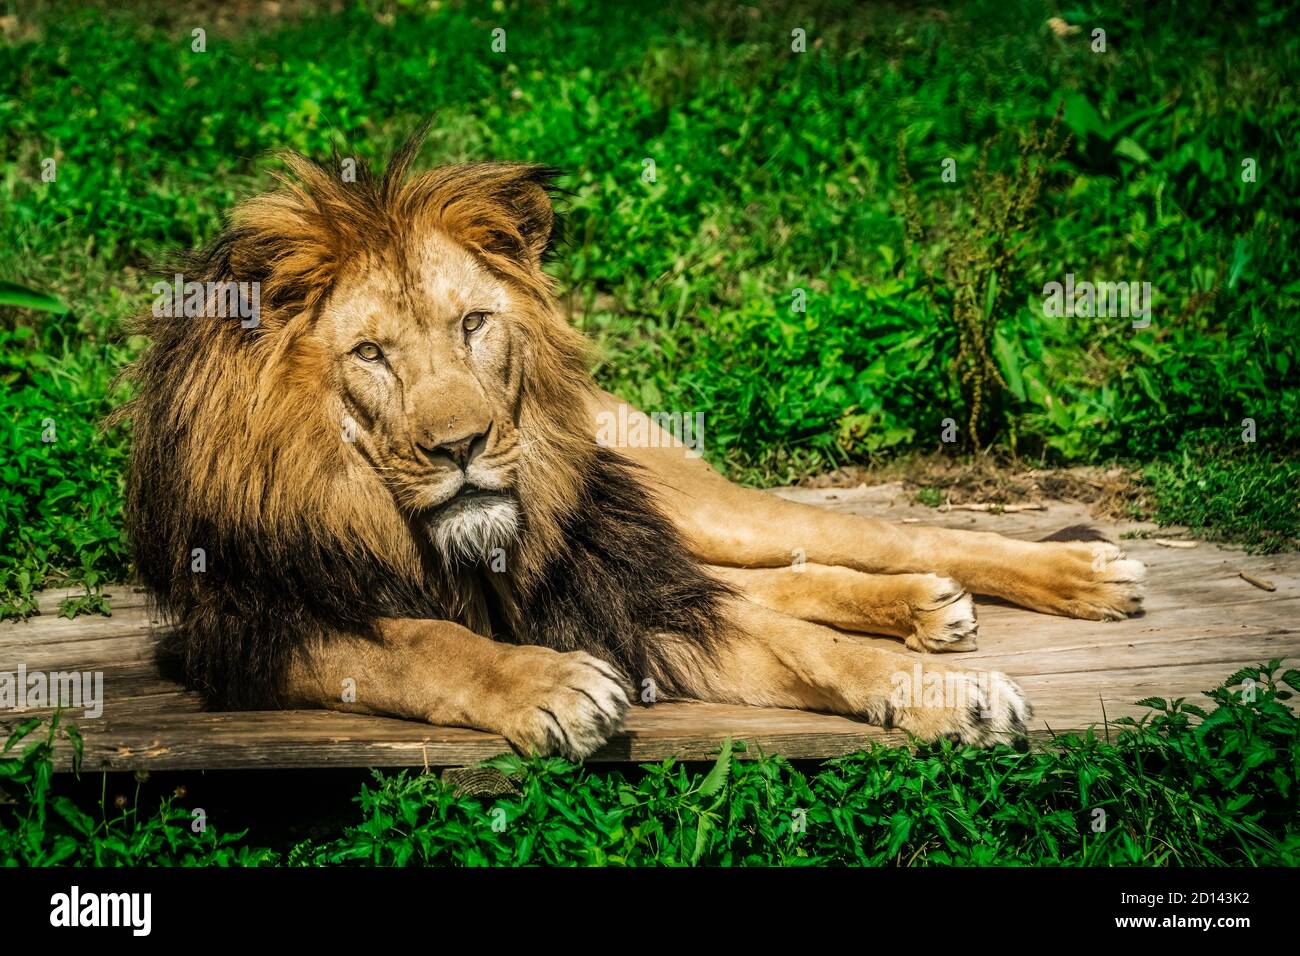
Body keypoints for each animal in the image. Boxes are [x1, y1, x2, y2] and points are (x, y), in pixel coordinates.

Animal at [119, 136, 1138, 764]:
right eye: (370, 354)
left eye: (474, 324)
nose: (462, 445)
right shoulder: (246, 628)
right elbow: (424, 643)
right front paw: (551, 684)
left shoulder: (625, 589)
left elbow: (808, 647)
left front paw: (949, 694)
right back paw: (928, 605)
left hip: (682, 500)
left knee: (866, 539)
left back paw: (1076, 577)